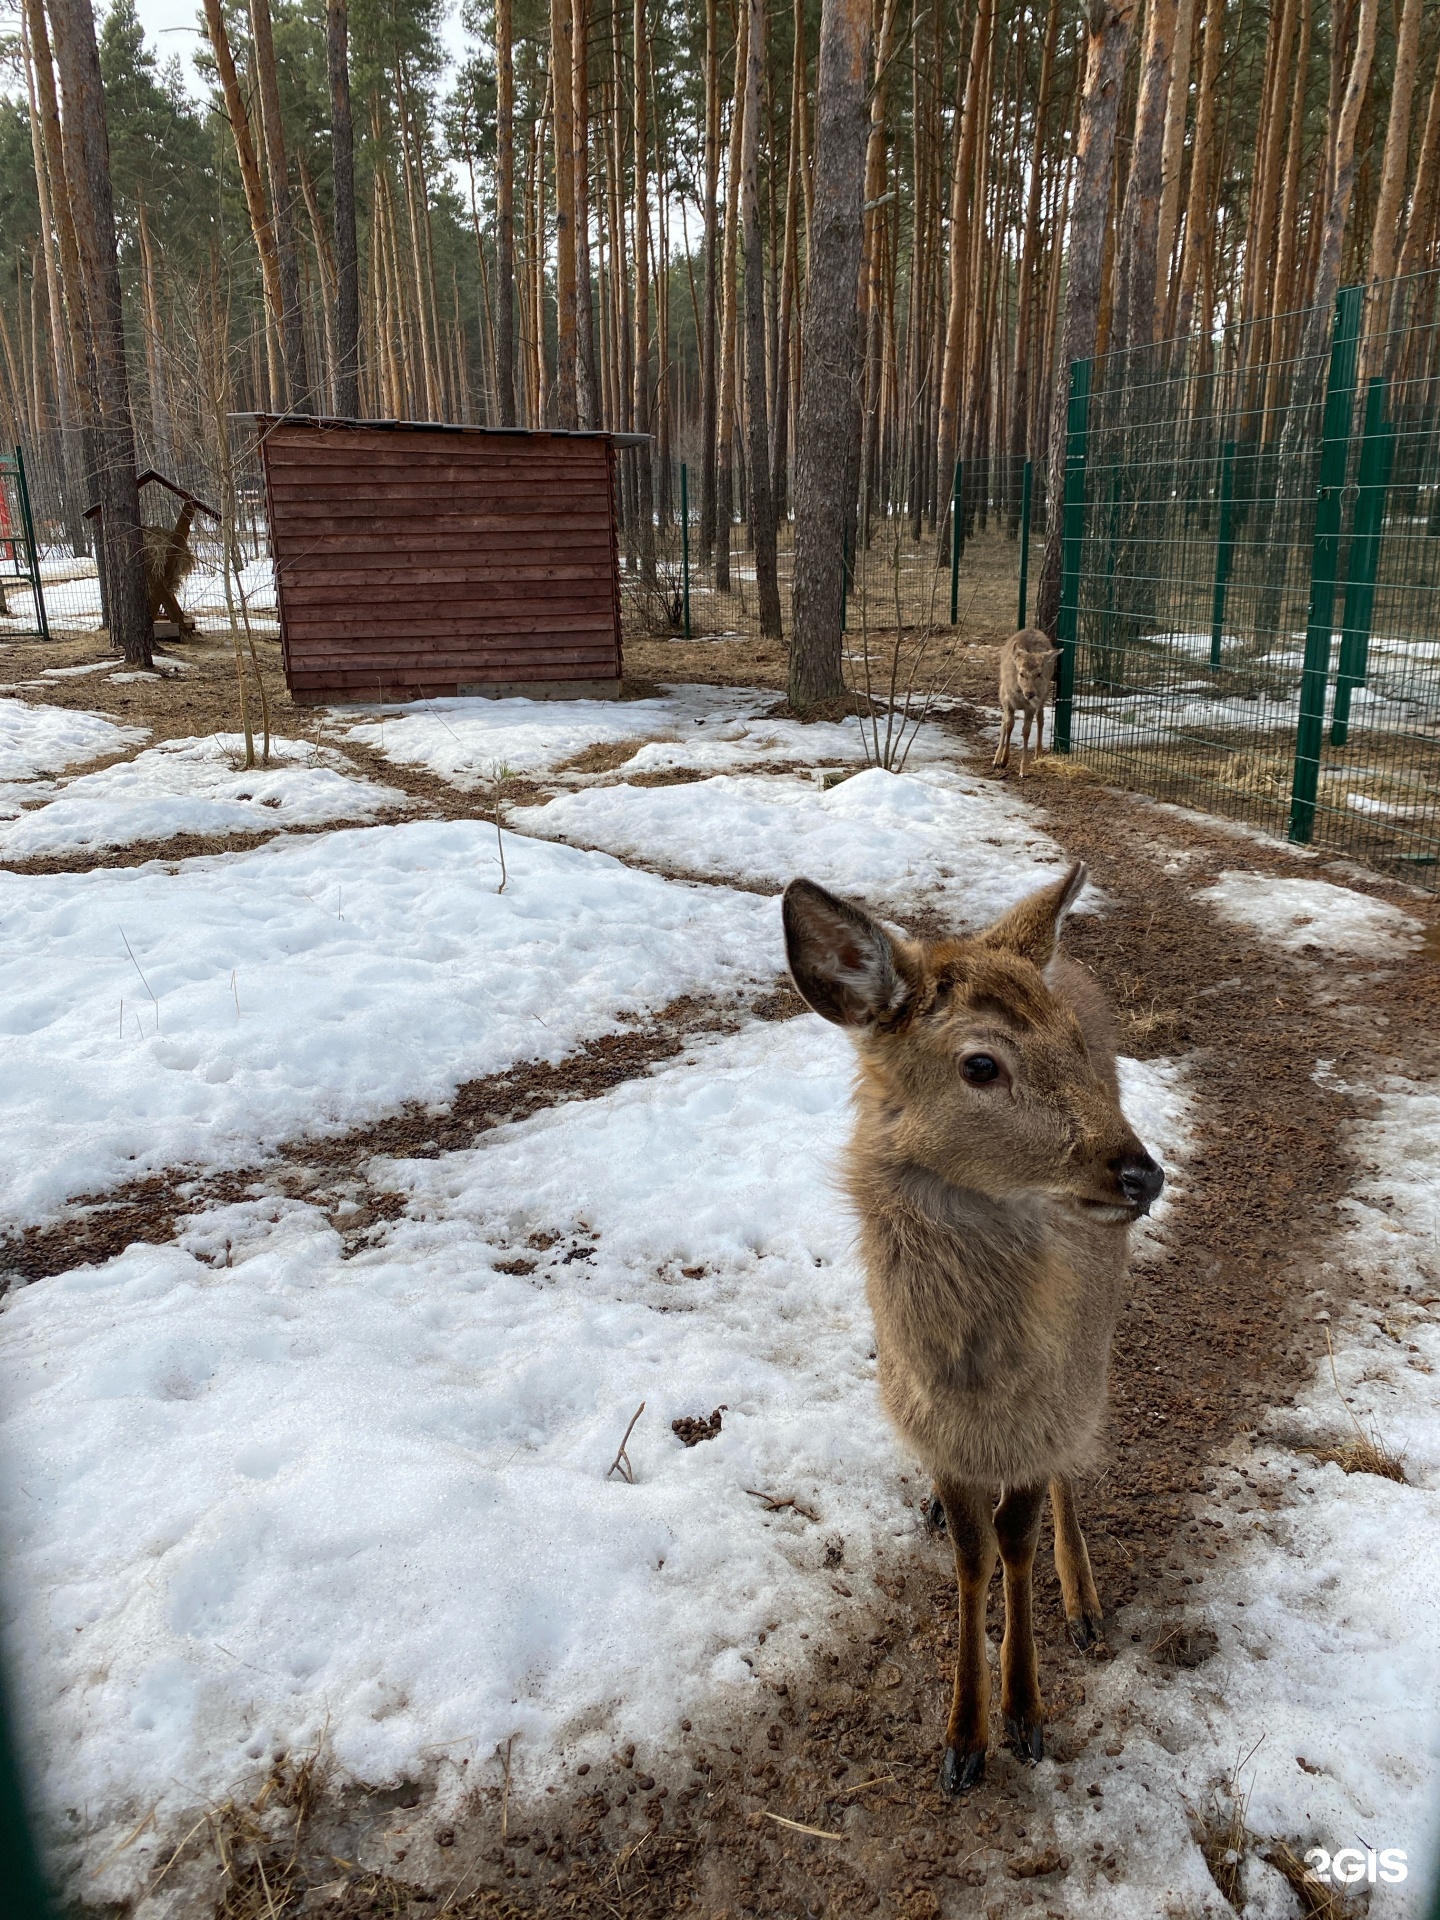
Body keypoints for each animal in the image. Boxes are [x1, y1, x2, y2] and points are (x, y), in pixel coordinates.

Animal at [783, 871, 1167, 1797]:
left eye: (1074, 1046)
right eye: (980, 1064)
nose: (1142, 1174)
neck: (975, 1386)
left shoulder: (1046, 1411)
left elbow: (1016, 1542)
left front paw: (1024, 1714)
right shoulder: (936, 1426)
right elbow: (971, 1554)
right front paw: (963, 1738)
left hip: (1095, 1350)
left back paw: (1085, 1600)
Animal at [998, 633, 1067, 775]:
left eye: (1039, 674)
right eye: (1021, 673)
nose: (1030, 693)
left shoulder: (1031, 707)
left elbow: (1026, 731)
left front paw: (1023, 769)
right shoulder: (1007, 702)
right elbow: (1008, 725)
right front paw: (1002, 760)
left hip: (1044, 695)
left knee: (1040, 719)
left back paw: (1038, 753)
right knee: (1004, 720)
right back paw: (996, 758)